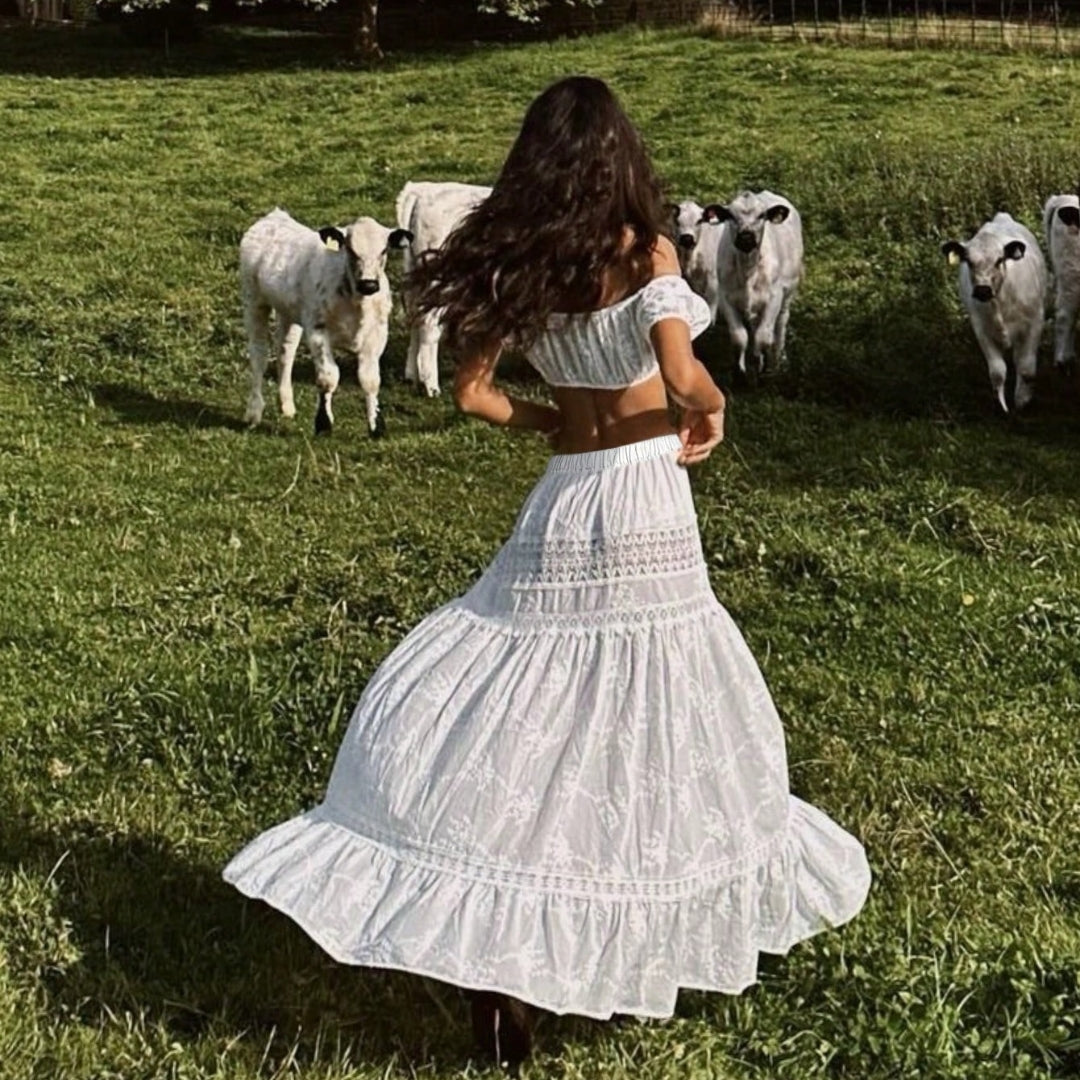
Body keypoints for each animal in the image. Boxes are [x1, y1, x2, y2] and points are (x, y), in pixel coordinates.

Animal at [239, 206, 408, 434]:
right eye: (351, 250)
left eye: (384, 250)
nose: (369, 284)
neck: (356, 302)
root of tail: (274, 216)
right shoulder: (317, 331)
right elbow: (328, 378)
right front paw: (323, 423)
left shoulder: (377, 335)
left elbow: (370, 380)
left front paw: (376, 426)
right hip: (254, 302)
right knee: (259, 354)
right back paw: (253, 412)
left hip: (289, 313)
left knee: (285, 351)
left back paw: (287, 406)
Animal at [699, 192, 803, 378]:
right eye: (731, 215)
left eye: (762, 215)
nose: (746, 236)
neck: (748, 269)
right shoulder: (726, 298)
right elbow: (739, 338)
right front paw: (740, 375)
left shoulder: (774, 297)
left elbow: (764, 336)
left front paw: (764, 373)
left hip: (788, 292)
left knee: (781, 323)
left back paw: (780, 359)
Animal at [946, 212, 1045, 410]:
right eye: (968, 262)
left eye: (999, 260)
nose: (983, 290)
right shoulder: (981, 328)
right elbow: (998, 371)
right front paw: (1003, 406)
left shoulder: (1035, 321)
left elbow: (1026, 367)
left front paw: (1022, 400)